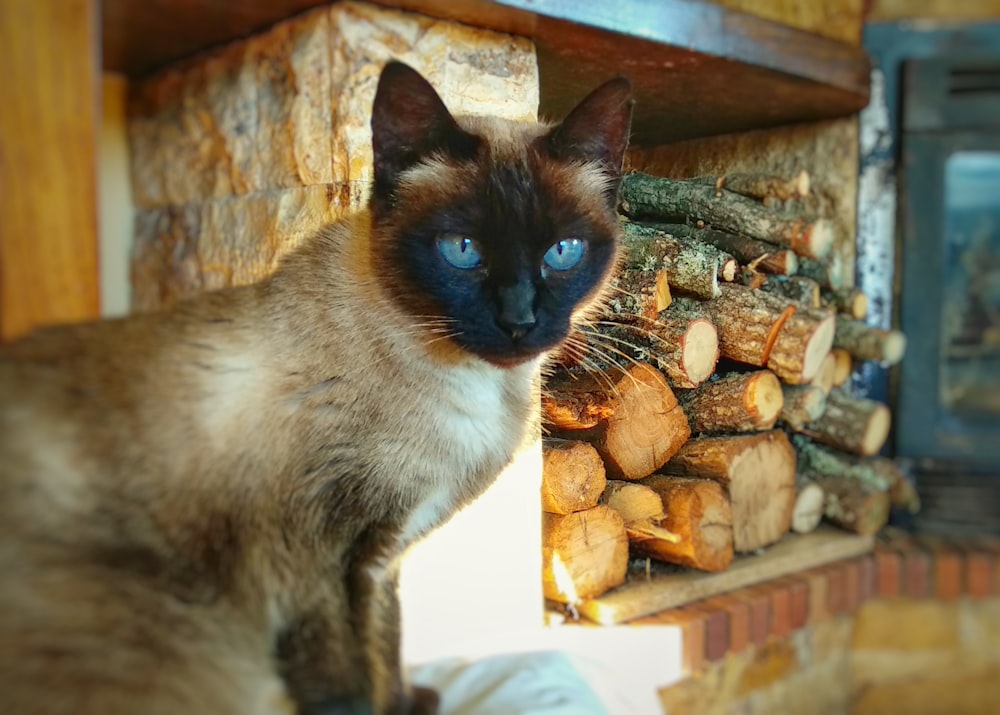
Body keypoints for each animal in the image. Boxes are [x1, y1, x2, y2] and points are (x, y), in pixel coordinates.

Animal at [0, 63, 632, 715]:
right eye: (462, 251)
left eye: (562, 252)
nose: (519, 320)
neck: (477, 390)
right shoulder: (312, 561)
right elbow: (347, 683)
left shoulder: (379, 560)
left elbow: (386, 643)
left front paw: (405, 703)